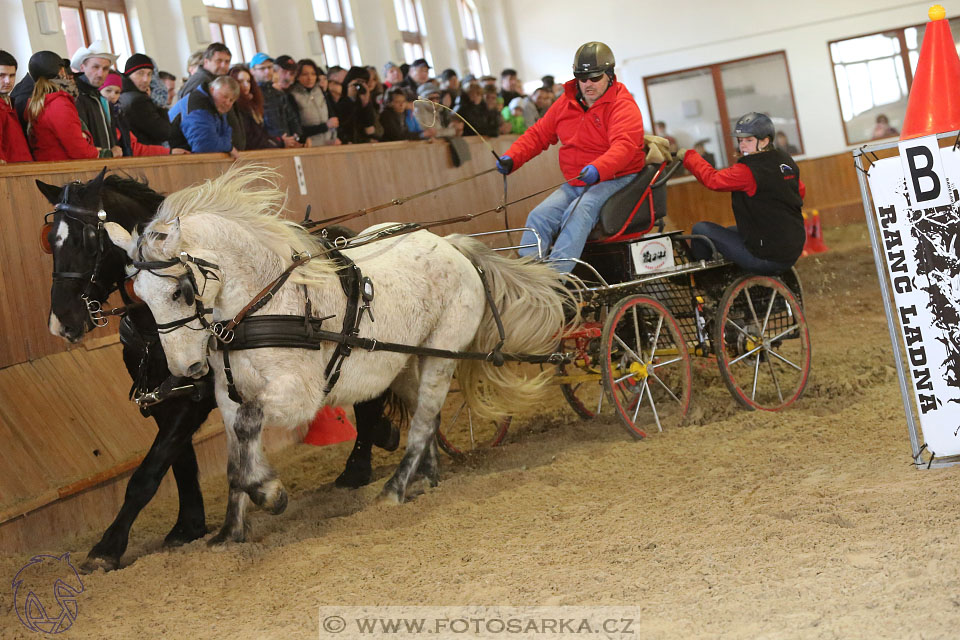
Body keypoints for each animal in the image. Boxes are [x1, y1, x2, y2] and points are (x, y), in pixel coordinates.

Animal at [37, 169, 398, 568]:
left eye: (89, 238)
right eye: (50, 240)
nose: (62, 322)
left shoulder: (192, 403)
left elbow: (147, 474)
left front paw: (107, 547)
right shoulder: (167, 400)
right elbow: (179, 464)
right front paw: (188, 525)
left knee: (371, 397)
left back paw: (358, 466)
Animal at [107, 166, 568, 544]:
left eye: (180, 291)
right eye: (138, 294)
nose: (185, 368)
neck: (263, 303)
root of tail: (452, 246)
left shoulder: (297, 395)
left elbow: (250, 428)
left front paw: (271, 494)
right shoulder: (228, 396)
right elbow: (236, 456)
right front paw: (229, 531)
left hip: (443, 354)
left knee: (422, 423)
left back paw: (395, 489)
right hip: (405, 360)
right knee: (429, 415)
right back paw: (428, 478)